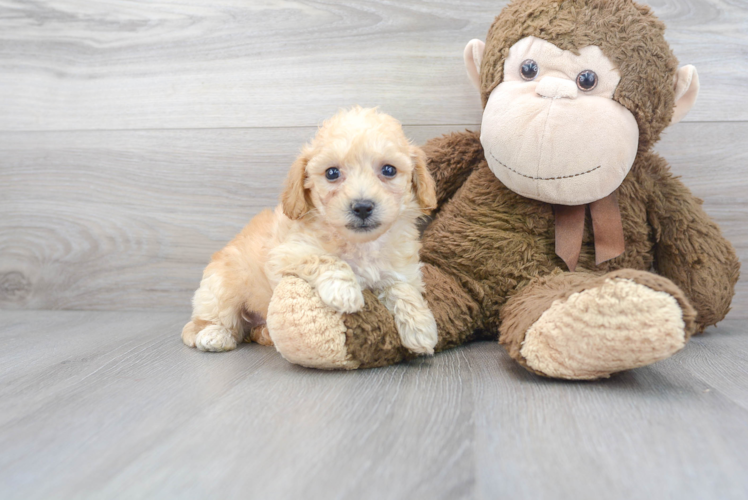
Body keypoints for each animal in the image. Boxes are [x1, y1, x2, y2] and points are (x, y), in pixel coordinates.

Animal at [181, 106, 438, 356]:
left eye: (389, 170)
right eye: (332, 173)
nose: (363, 207)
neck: (360, 244)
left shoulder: (399, 268)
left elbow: (403, 288)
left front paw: (420, 327)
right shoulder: (286, 254)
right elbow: (324, 258)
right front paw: (345, 290)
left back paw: (264, 333)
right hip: (220, 289)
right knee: (204, 323)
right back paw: (214, 335)